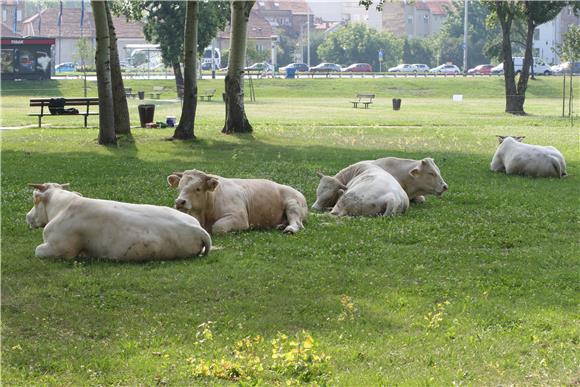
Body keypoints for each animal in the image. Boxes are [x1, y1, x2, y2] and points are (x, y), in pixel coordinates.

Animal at [26, 183, 211, 262]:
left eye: (35, 199)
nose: (27, 216)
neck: (64, 206)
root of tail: (198, 229)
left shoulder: (59, 248)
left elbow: (37, 250)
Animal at [167, 171, 308, 236]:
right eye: (179, 188)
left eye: (197, 188)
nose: (180, 202)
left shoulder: (239, 217)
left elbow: (218, 227)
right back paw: (280, 225)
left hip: (293, 205)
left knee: (297, 223)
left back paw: (289, 229)